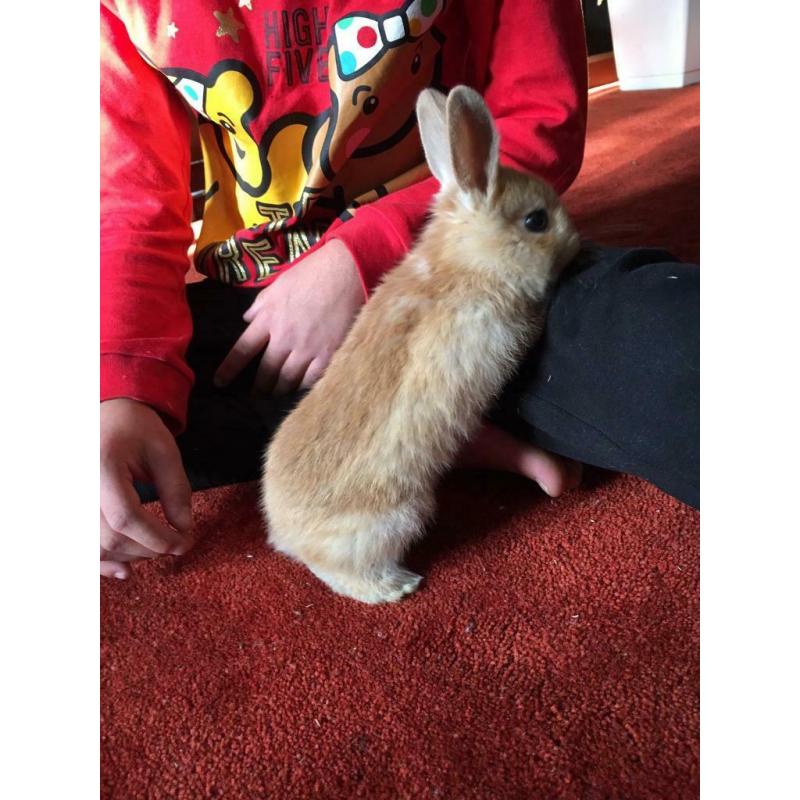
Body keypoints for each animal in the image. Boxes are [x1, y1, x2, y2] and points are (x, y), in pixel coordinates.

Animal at [261, 85, 581, 604]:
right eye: (536, 221)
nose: (575, 239)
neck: (462, 262)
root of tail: (284, 535)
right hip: (397, 518)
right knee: (342, 573)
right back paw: (398, 586)